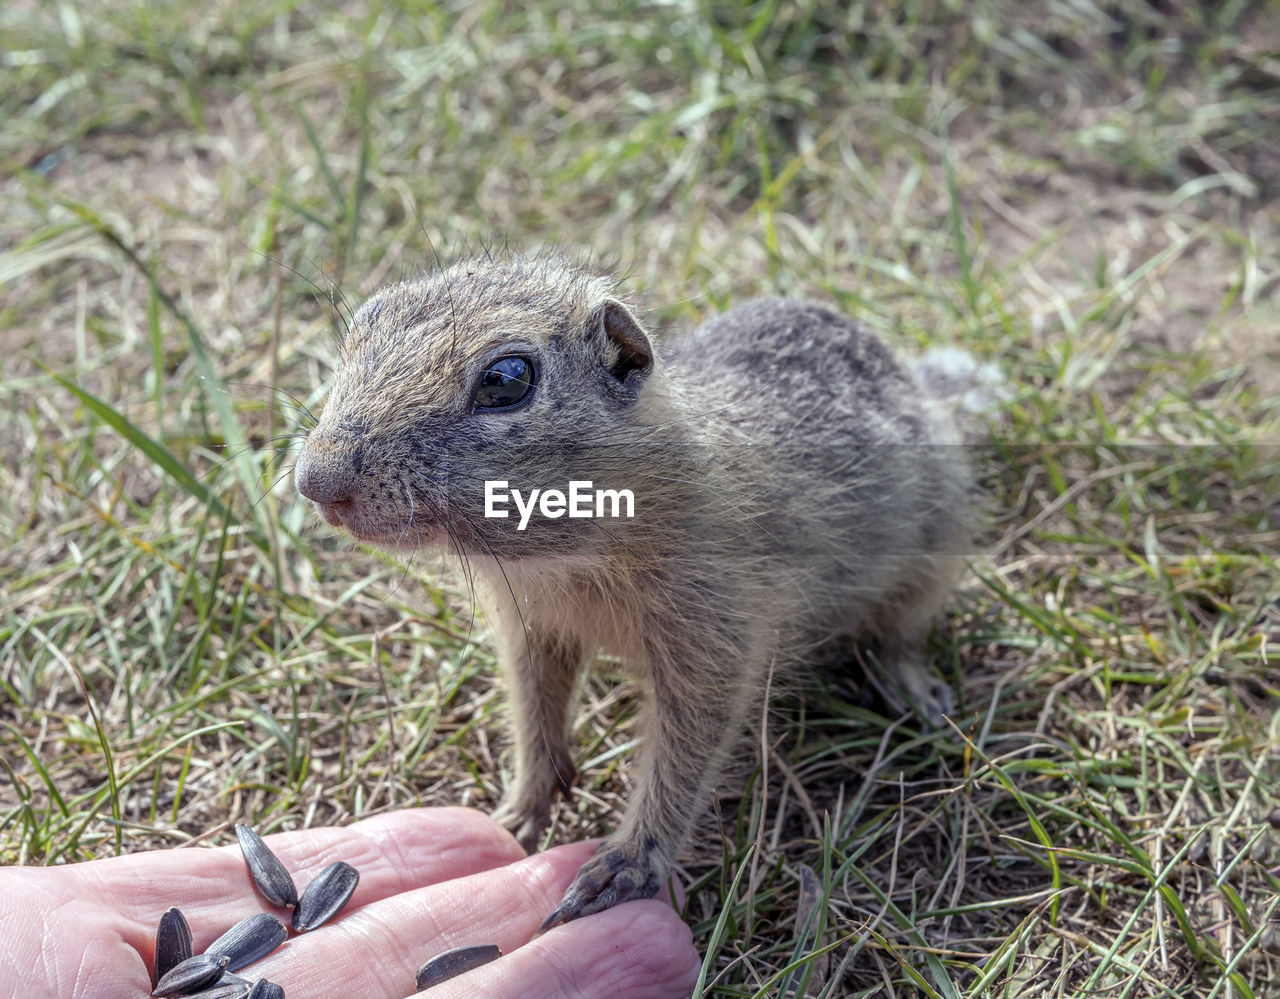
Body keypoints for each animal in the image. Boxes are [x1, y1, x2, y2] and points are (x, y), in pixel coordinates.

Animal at [296, 249, 977, 927]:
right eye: (362, 325)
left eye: (507, 379)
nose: (315, 480)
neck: (561, 559)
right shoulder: (528, 629)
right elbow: (533, 710)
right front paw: (520, 808)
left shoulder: (718, 634)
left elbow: (686, 752)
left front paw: (624, 863)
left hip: (934, 556)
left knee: (901, 636)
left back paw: (914, 687)